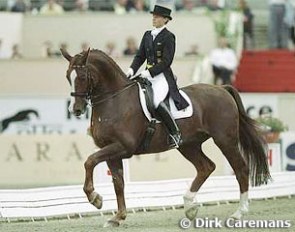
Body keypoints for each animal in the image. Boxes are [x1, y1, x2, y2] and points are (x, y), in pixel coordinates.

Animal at [61, 48, 272, 227]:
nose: (76, 110)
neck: (114, 99)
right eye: (67, 77)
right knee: (206, 167)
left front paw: (95, 198)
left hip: (225, 141)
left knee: (241, 169)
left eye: (82, 77)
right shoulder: (111, 150)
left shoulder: (123, 147)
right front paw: (117, 217)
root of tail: (221, 89)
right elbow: (118, 183)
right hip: (188, 145)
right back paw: (190, 207)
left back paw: (238, 213)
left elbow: (89, 161)